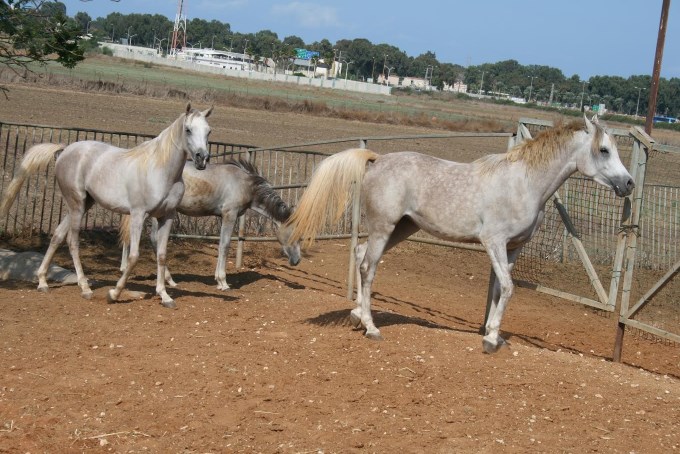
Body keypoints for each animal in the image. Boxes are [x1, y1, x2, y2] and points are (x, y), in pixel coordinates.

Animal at [0, 103, 212, 308]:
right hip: (77, 205)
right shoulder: (138, 215)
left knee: (58, 235)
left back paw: (43, 282)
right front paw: (114, 294)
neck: (160, 170)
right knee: (72, 241)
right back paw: (85, 288)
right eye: (188, 129)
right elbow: (133, 256)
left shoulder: (166, 216)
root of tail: (64, 151)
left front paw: (165, 297)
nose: (202, 158)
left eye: (208, 131)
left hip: (83, 204)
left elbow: (161, 255)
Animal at [120, 158, 302, 290]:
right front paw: (223, 282)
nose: (297, 261)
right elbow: (225, 245)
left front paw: (218, 280)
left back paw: (169, 280)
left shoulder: (224, 216)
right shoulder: (230, 214)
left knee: (153, 240)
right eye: (295, 235)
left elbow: (221, 244)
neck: (244, 183)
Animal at [286, 115, 632, 352]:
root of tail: (377, 160)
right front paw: (491, 340)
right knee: (367, 267)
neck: (524, 183)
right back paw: (371, 328)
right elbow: (508, 288)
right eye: (604, 150)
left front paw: (492, 331)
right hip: (384, 227)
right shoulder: (493, 242)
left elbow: (499, 288)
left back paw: (357, 314)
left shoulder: (514, 247)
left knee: (359, 255)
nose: (628, 184)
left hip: (401, 228)